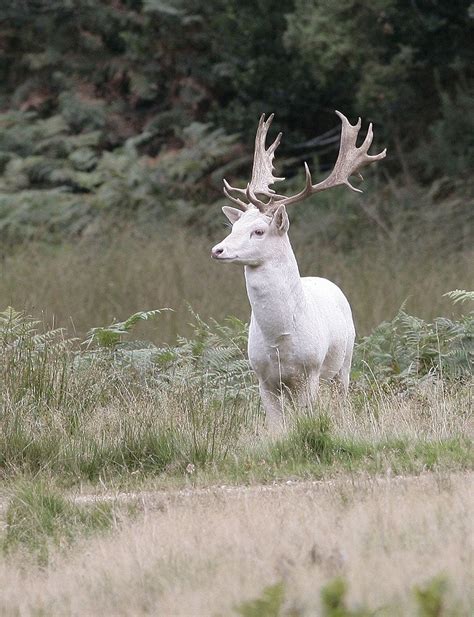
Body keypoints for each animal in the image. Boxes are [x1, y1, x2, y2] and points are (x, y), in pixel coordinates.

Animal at [211, 110, 386, 428]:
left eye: (258, 231)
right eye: (233, 227)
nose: (217, 250)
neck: (279, 340)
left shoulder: (310, 373)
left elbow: (309, 417)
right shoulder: (262, 377)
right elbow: (277, 426)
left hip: (344, 362)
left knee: (341, 398)